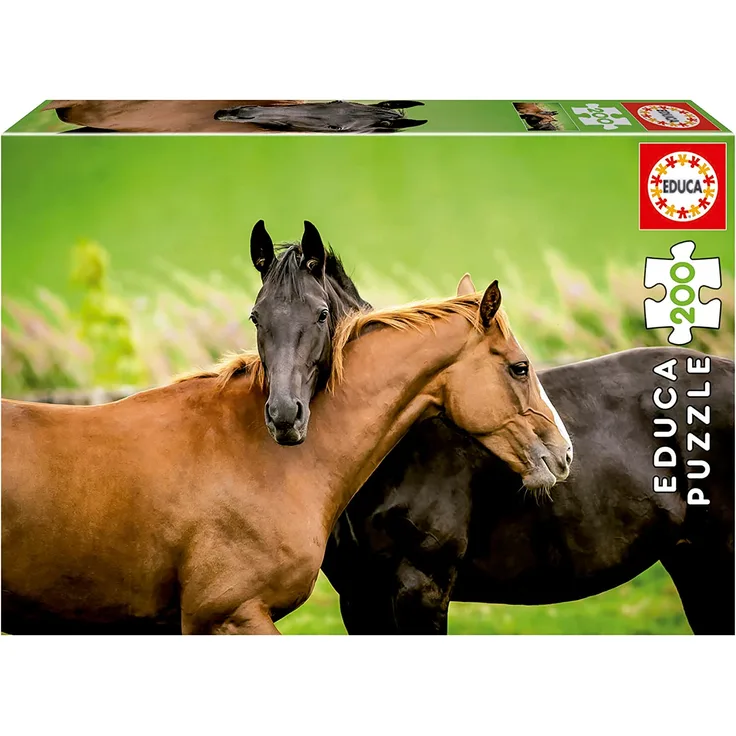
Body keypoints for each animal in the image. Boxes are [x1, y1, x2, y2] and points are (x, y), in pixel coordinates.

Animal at [247, 255, 734, 634]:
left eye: (321, 315)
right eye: (257, 317)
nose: (285, 415)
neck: (397, 454)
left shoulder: (421, 588)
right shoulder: (359, 596)